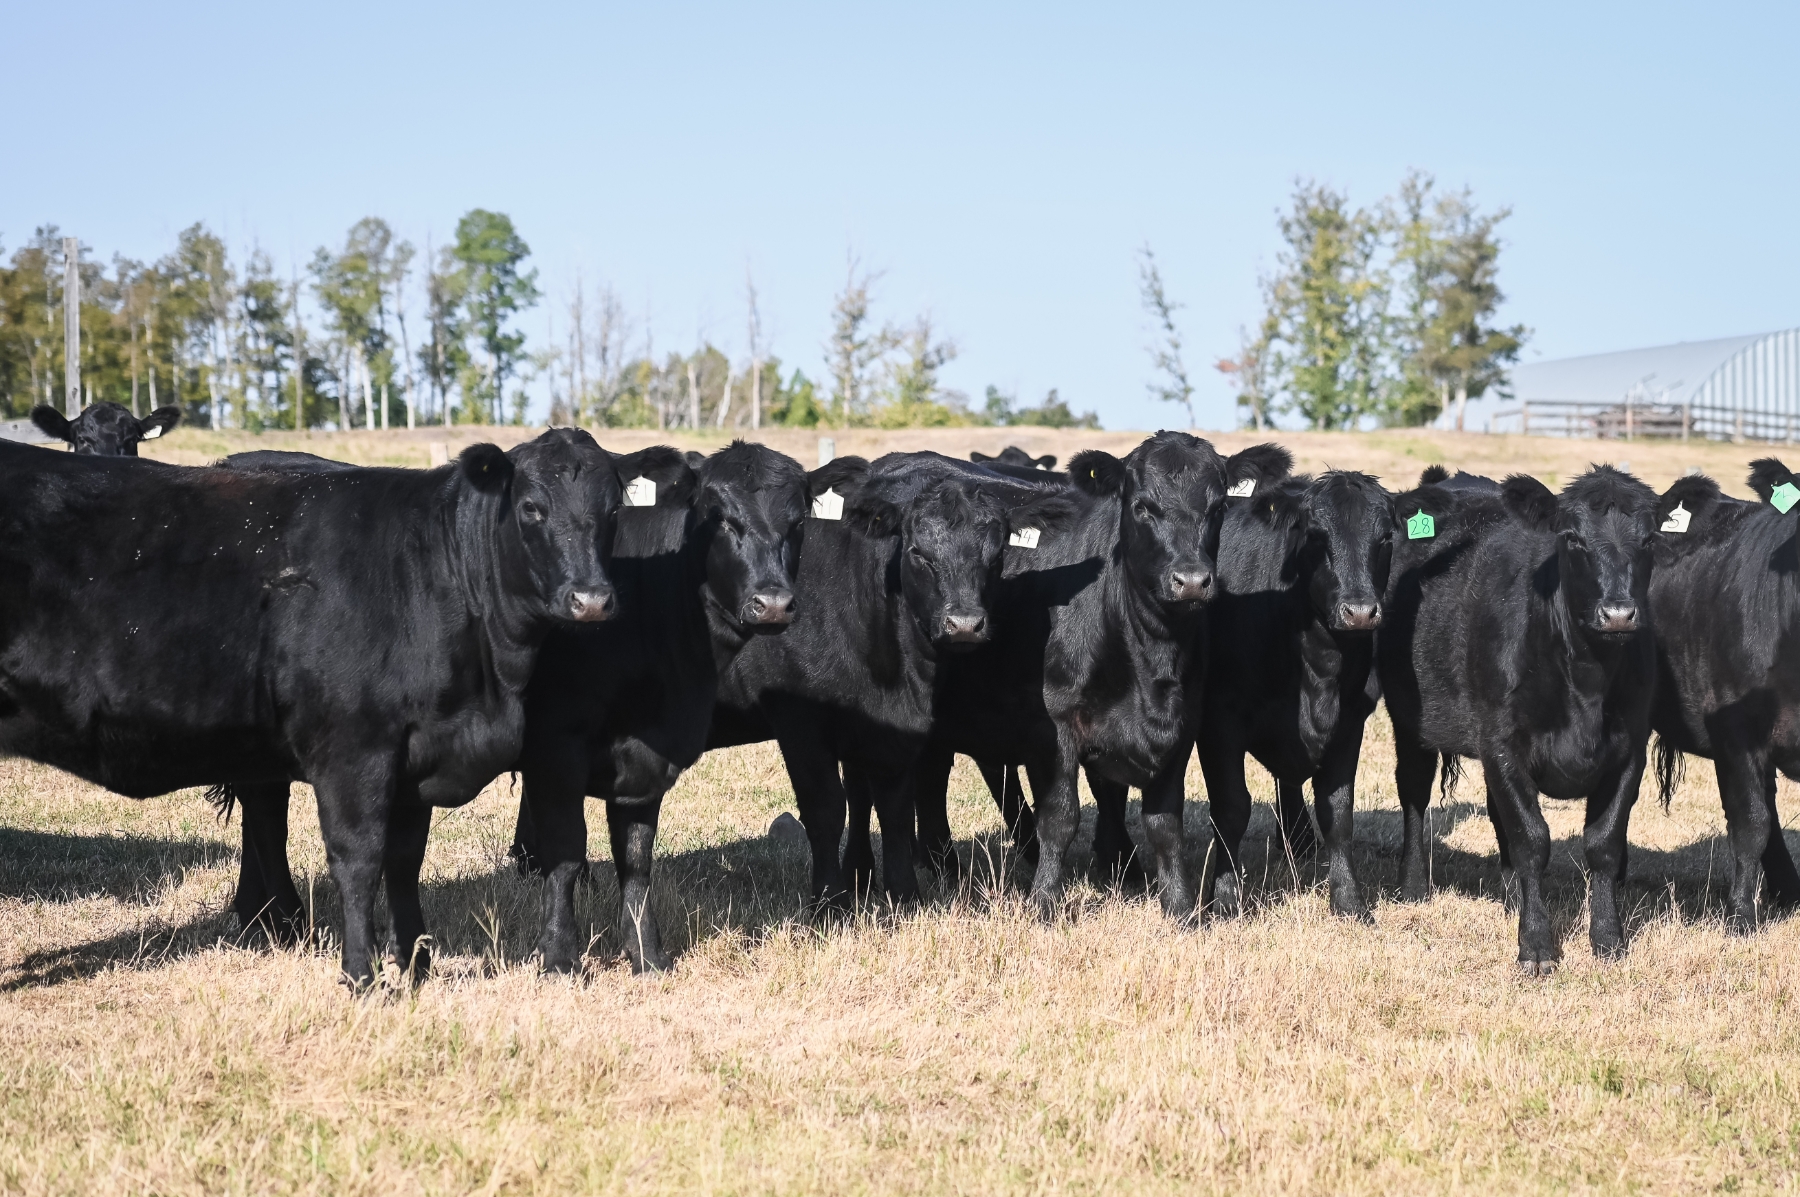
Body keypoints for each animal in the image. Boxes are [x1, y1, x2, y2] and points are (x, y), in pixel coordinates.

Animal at [0, 429, 628, 988]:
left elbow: (405, 861)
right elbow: (359, 859)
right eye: (531, 507)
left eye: (615, 507)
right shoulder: (354, 749)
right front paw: (361, 976)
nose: (593, 599)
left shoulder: (414, 755)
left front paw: (416, 965)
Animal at [504, 441, 808, 974]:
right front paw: (559, 955)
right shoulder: (558, 746)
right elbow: (566, 852)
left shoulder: (649, 758)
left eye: (798, 521)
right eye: (720, 517)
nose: (772, 604)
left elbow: (637, 859)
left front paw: (646, 953)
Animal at [708, 452, 1073, 910]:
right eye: (918, 552)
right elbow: (826, 809)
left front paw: (904, 895)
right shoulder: (798, 720)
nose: (964, 624)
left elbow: (894, 807)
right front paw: (830, 904)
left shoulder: (893, 727)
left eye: (997, 554)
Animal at [1197, 466, 1395, 922]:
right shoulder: (1219, 721)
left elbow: (1338, 813)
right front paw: (1225, 900)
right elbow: (1231, 810)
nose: (1361, 612)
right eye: (1316, 536)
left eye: (1386, 538)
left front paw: (1349, 901)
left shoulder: (1350, 723)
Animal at [1379, 465, 1659, 973]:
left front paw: (1608, 939)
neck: (1587, 679)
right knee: (1413, 792)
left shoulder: (1630, 749)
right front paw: (1536, 948)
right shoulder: (1503, 744)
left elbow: (1604, 844)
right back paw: (1413, 888)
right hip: (1411, 720)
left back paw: (1512, 898)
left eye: (1650, 539)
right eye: (1572, 538)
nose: (1618, 614)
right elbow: (1532, 840)